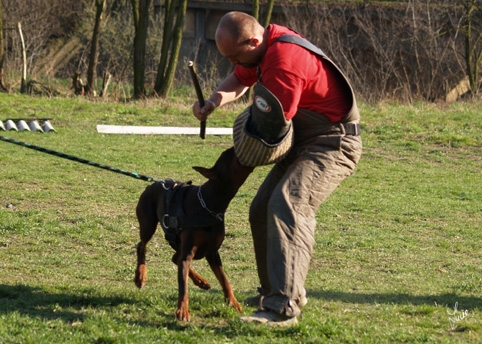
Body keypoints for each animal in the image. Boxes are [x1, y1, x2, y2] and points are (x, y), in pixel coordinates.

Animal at [132, 146, 252, 322]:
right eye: (230, 155)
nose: (233, 147)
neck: (210, 203)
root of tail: (153, 183)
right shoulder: (189, 250)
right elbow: (183, 286)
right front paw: (182, 311)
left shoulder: (212, 251)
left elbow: (224, 279)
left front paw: (233, 302)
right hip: (148, 223)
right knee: (142, 246)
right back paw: (140, 276)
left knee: (175, 258)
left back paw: (202, 282)